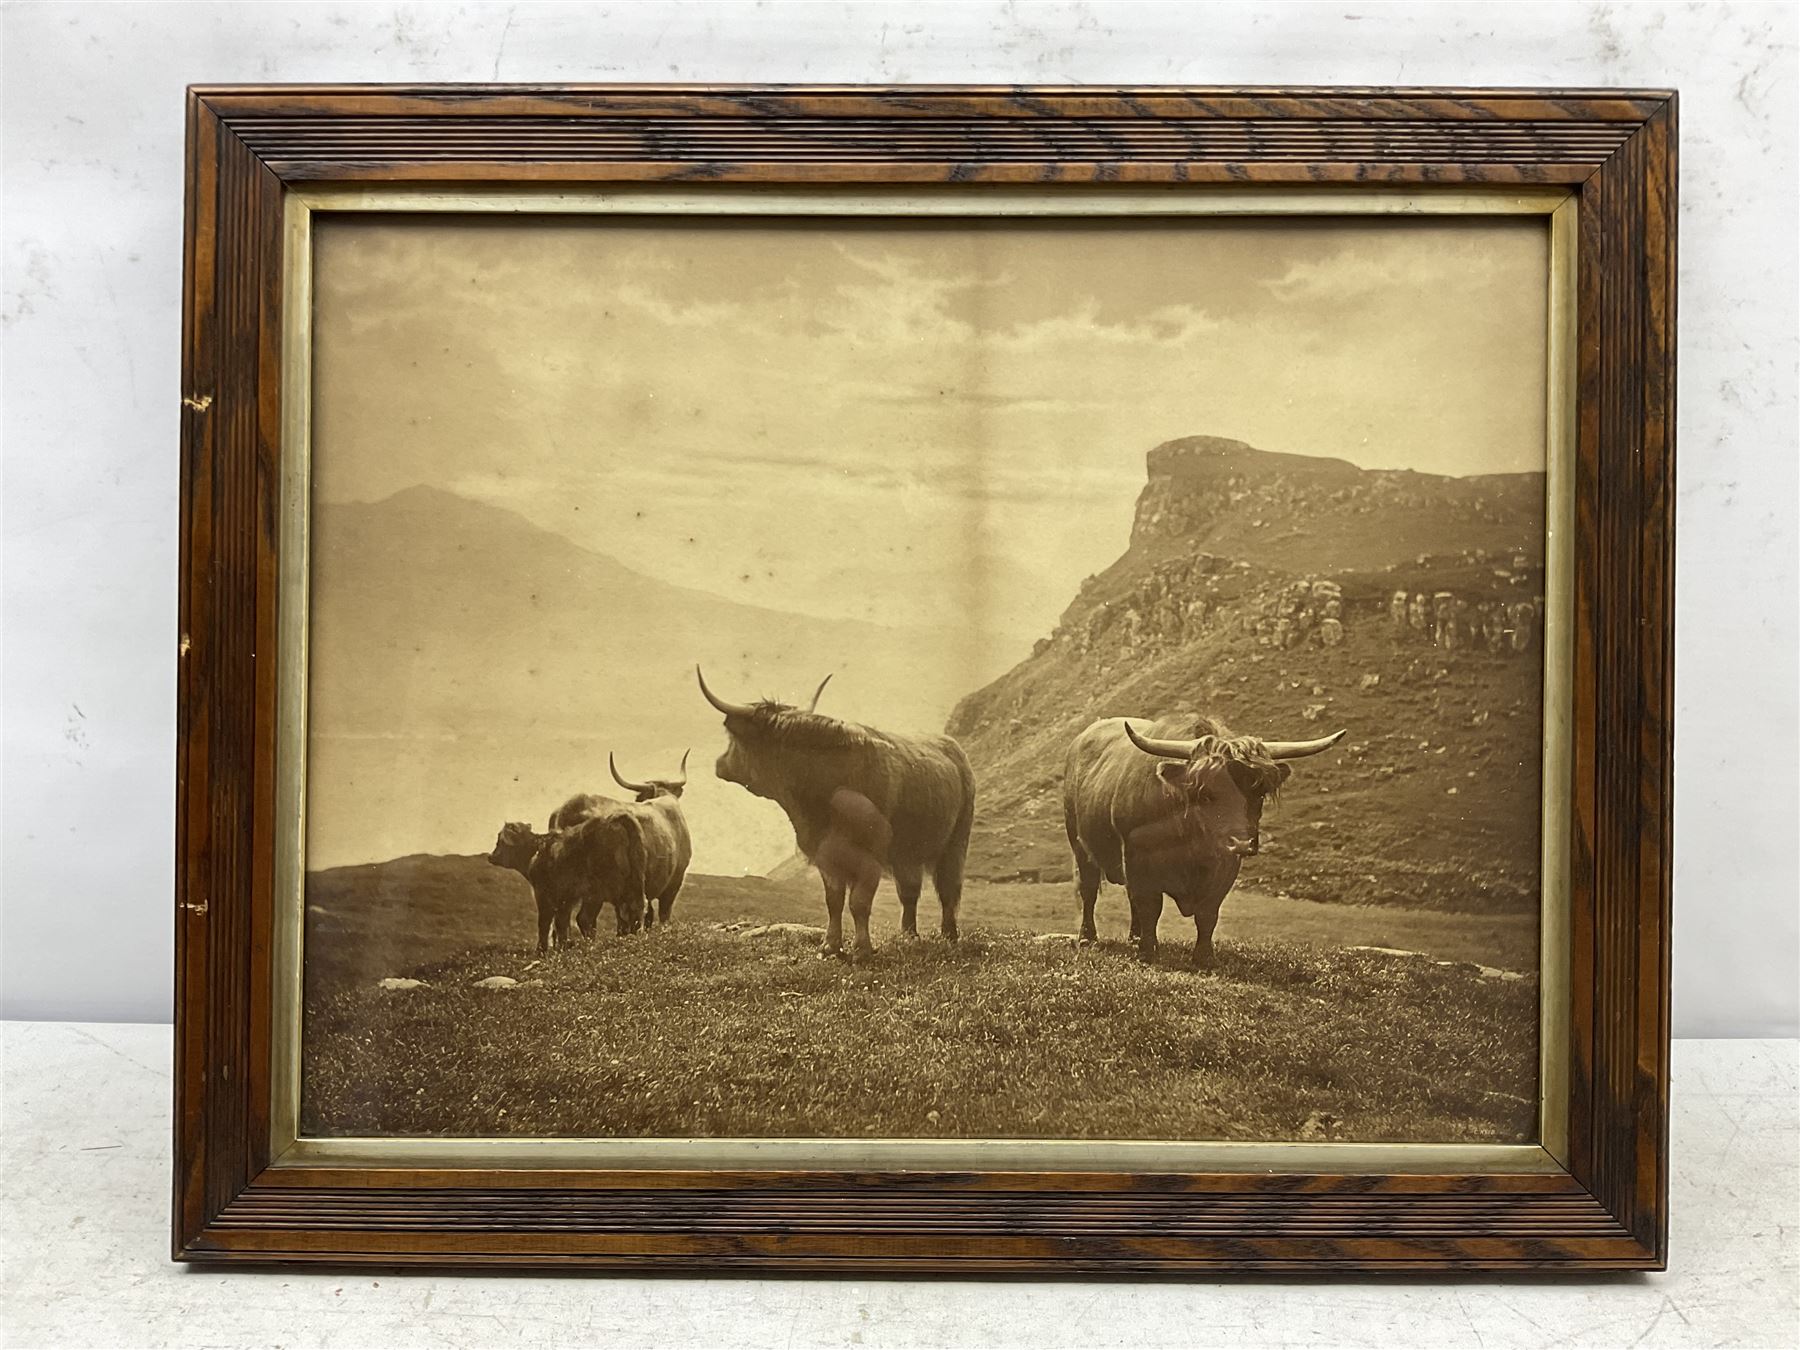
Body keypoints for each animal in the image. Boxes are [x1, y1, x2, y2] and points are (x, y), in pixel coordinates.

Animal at [486, 814, 648, 953]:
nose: (491, 856)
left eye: (500, 841)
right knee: (634, 909)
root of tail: (612, 820)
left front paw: (542, 951)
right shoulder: (565, 899)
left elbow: (545, 923)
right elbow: (562, 923)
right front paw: (563, 946)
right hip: (632, 881)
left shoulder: (544, 894)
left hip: (602, 889)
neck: (535, 852)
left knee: (597, 916)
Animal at [697, 667, 976, 961]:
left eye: (733, 740)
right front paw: (830, 946)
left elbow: (859, 902)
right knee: (909, 891)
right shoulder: (825, 855)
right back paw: (909, 936)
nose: (719, 764)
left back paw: (949, 936)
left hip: (956, 843)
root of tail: (952, 747)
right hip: (906, 851)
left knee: (948, 889)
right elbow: (834, 901)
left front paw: (862, 950)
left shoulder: (869, 858)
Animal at [1062, 714, 1344, 969]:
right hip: (1079, 845)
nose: (1242, 843)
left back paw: (1133, 938)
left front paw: (1204, 957)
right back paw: (1088, 938)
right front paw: (1148, 952)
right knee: (1089, 891)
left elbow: (1208, 913)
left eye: (1260, 793)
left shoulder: (1226, 867)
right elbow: (1149, 906)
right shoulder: (1138, 859)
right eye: (1205, 794)